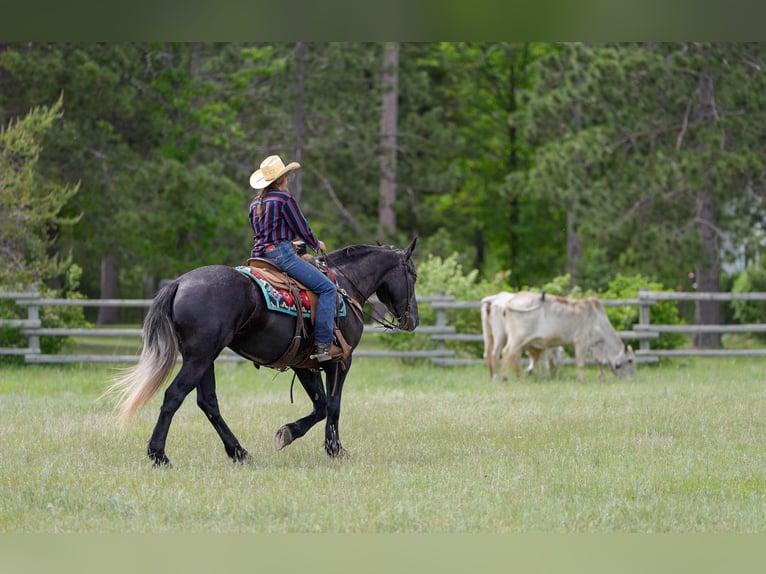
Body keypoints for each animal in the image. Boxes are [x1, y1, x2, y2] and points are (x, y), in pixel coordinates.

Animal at [106, 238, 419, 467]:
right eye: (413, 275)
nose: (412, 320)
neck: (343, 286)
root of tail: (180, 282)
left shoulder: (304, 365)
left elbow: (320, 406)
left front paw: (288, 433)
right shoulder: (340, 361)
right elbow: (333, 406)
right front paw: (334, 450)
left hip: (205, 359)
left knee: (208, 402)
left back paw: (239, 452)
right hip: (199, 358)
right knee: (174, 396)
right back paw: (159, 454)